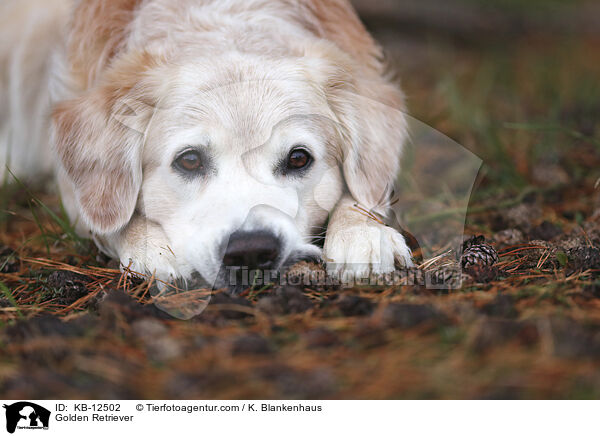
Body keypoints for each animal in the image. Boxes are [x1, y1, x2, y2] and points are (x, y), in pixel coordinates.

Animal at [0, 0, 412, 290]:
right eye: (190, 160)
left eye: (298, 159)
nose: (251, 250)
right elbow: (112, 216)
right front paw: (151, 248)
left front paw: (363, 233)